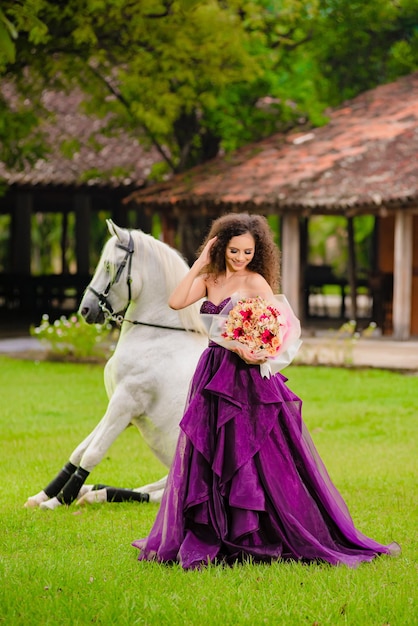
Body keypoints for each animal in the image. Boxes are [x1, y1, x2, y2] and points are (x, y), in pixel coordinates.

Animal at [24, 219, 206, 508]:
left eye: (110, 266)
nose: (85, 310)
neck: (158, 337)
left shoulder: (125, 405)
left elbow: (93, 453)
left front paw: (56, 501)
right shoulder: (117, 406)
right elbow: (80, 450)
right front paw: (44, 495)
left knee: (158, 496)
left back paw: (92, 494)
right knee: (154, 490)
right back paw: (93, 491)